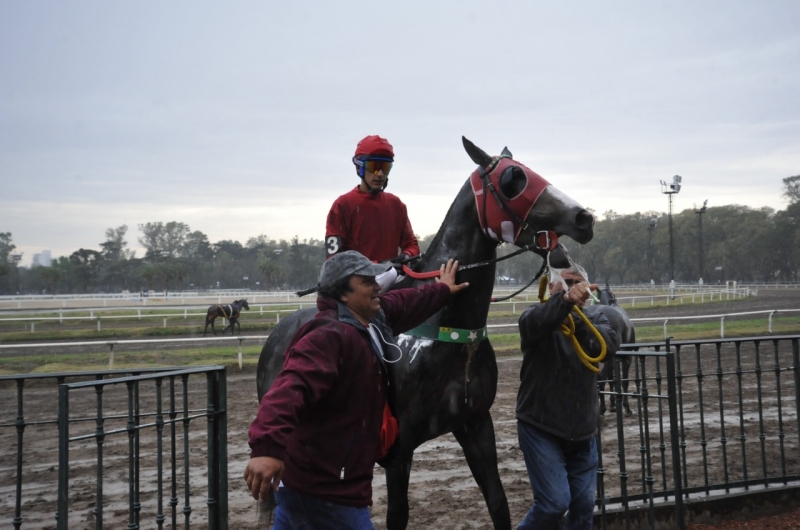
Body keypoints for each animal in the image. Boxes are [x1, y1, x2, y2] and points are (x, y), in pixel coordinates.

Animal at [584, 282, 636, 414]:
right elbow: (624, 381)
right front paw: (626, 406)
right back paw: (601, 408)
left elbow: (612, 379)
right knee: (601, 379)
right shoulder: (627, 358)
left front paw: (612, 404)